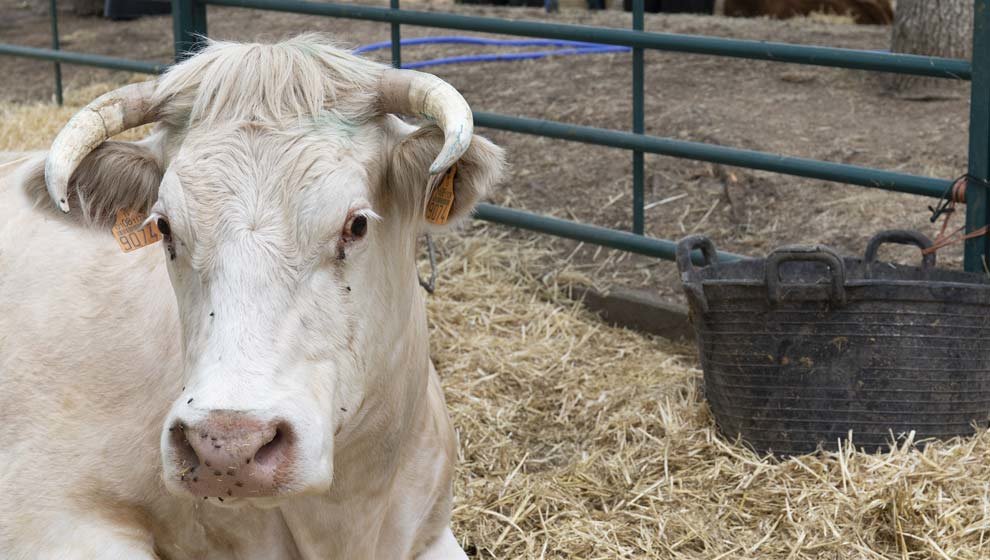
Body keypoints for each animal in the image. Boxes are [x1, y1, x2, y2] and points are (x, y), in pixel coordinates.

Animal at [0, 36, 508, 560]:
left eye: (357, 224)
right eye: (164, 227)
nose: (227, 446)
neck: (348, 517)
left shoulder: (431, 530)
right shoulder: (47, 516)